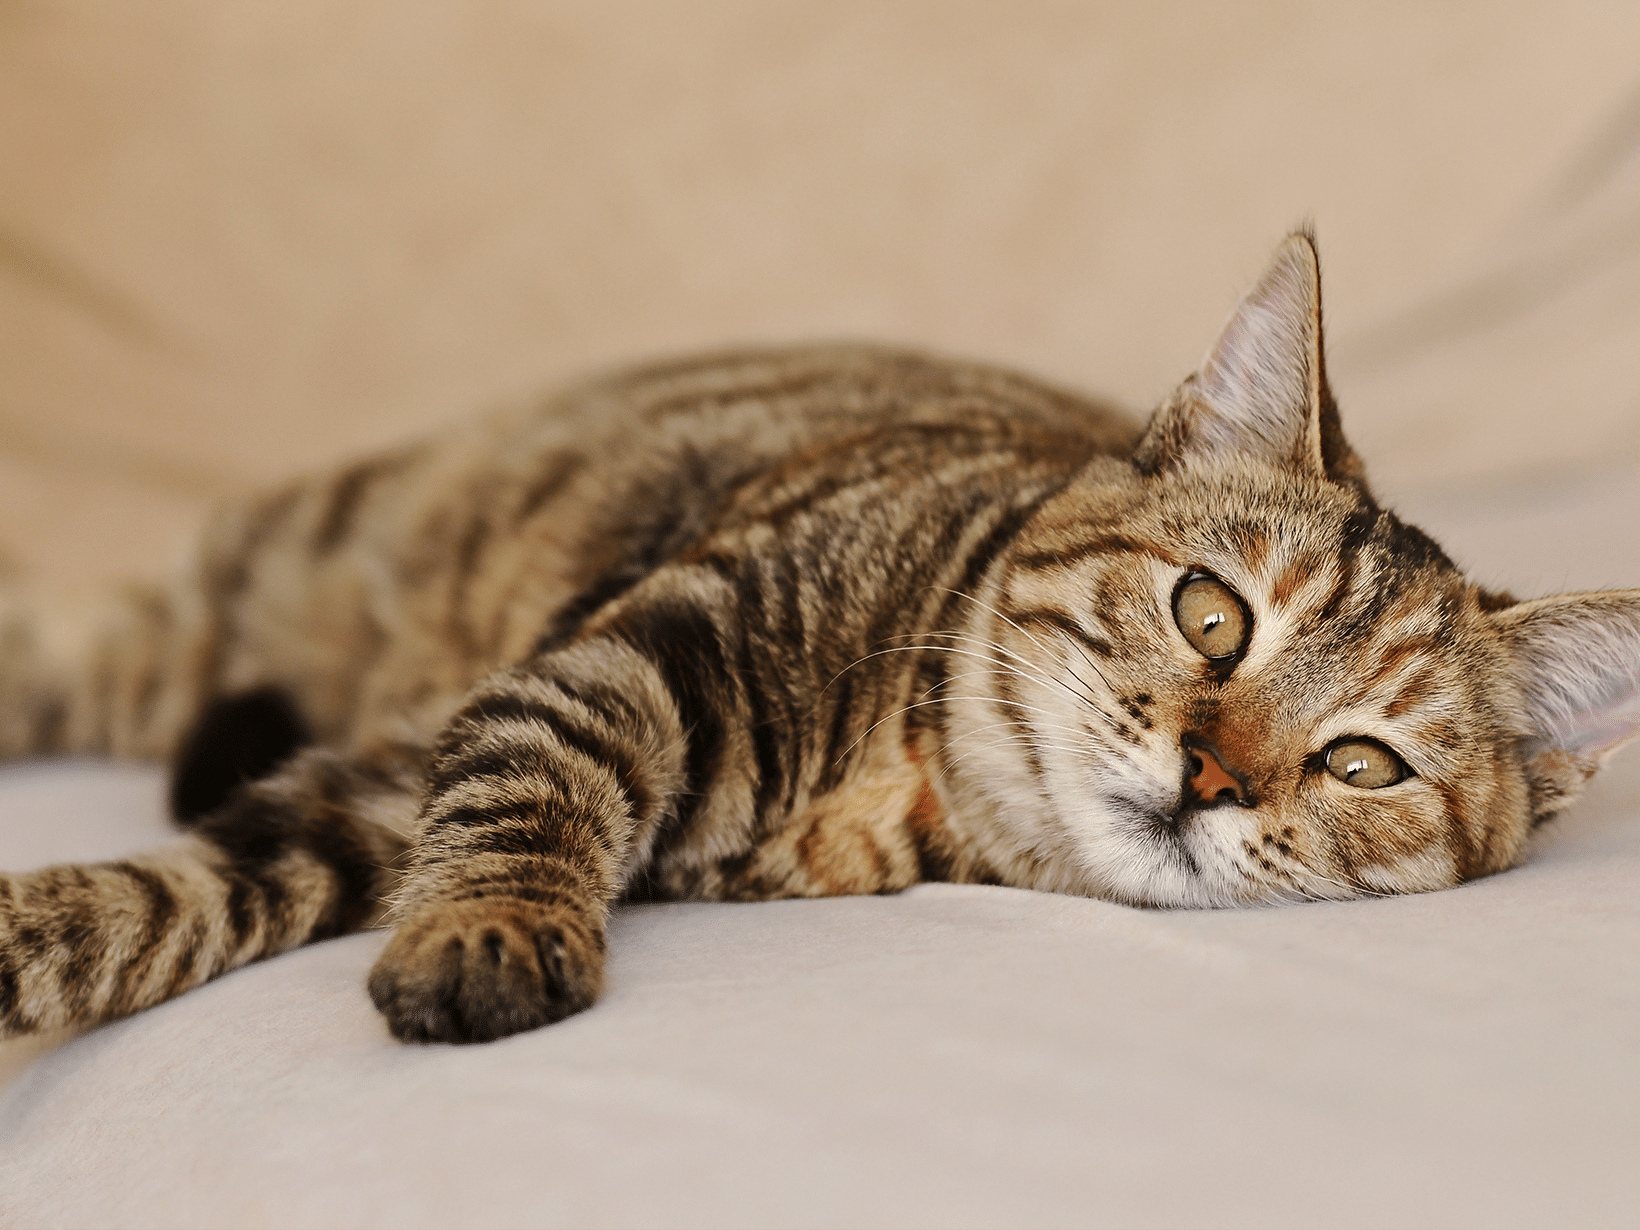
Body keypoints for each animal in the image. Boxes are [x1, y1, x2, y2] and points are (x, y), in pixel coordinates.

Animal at [3, 229, 1640, 1043]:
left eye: (1363, 765)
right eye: (1211, 613)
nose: (1211, 775)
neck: (907, 773)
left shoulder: (384, 790)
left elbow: (193, 890)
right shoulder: (624, 660)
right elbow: (532, 793)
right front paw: (498, 922)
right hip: (307, 544)